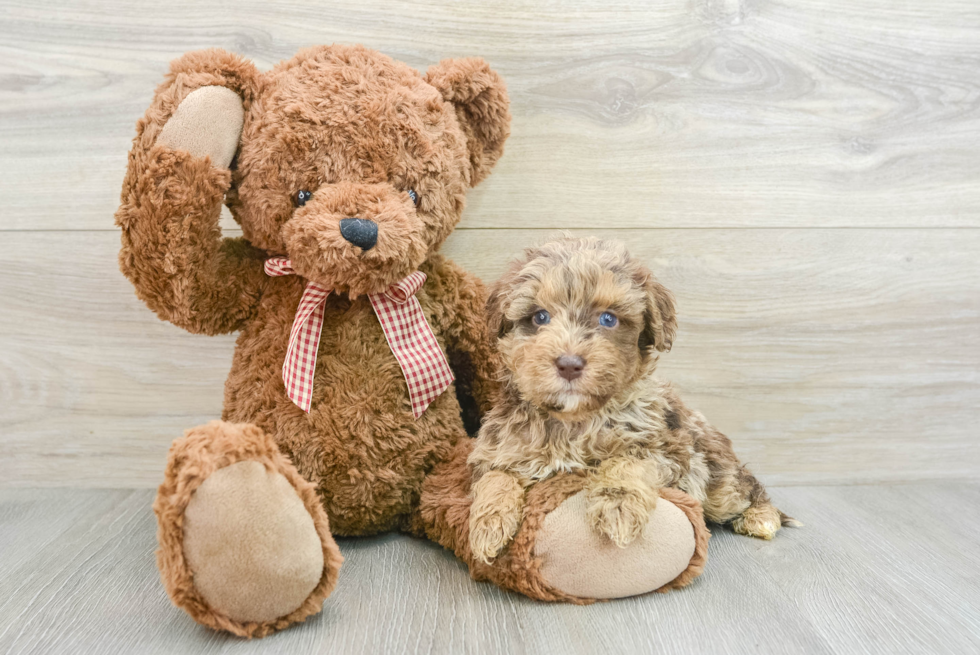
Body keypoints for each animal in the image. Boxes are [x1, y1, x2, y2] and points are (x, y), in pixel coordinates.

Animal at [468, 236, 796, 564]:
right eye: (539, 317)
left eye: (608, 319)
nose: (569, 364)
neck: (574, 420)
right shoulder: (500, 448)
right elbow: (496, 475)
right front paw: (487, 523)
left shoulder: (667, 450)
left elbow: (627, 462)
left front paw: (618, 507)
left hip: (716, 474)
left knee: (744, 488)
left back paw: (761, 517)